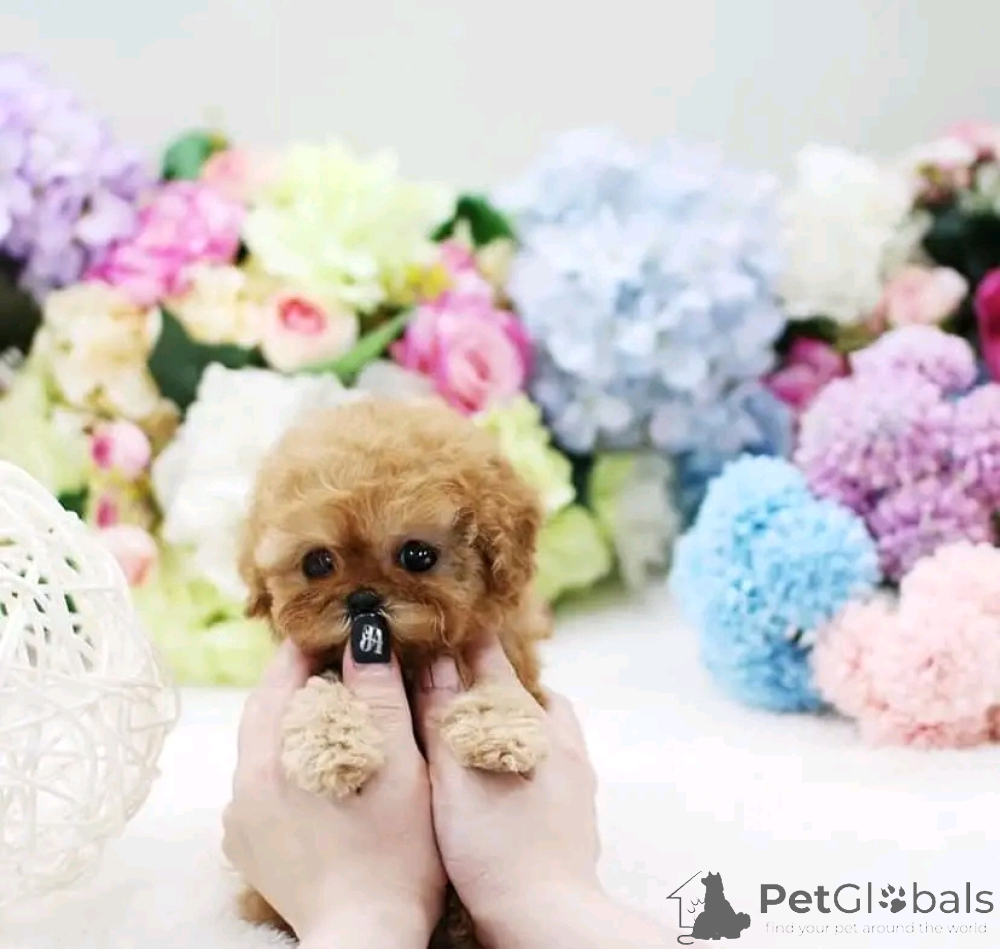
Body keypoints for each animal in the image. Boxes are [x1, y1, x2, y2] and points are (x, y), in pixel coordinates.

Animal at [234, 397, 553, 949]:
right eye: (317, 563)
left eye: (417, 555)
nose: (363, 599)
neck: (407, 658)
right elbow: (321, 690)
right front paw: (333, 747)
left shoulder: (502, 653)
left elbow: (502, 686)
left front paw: (498, 732)